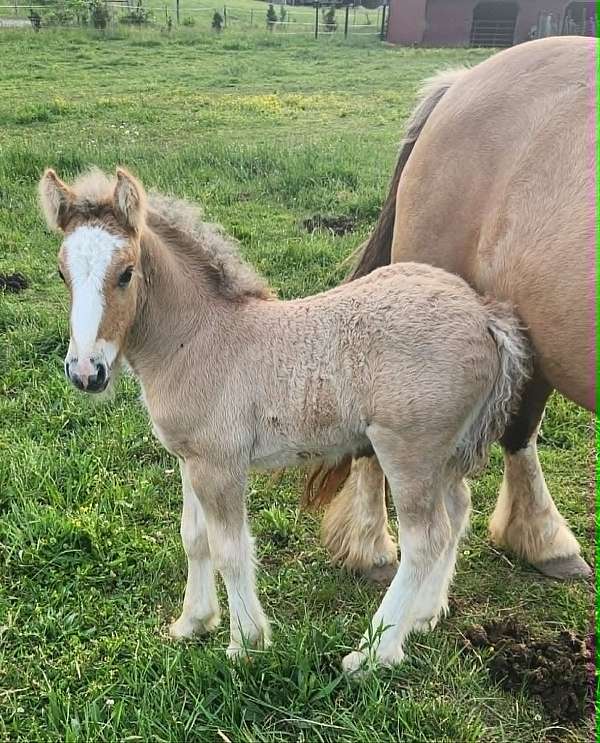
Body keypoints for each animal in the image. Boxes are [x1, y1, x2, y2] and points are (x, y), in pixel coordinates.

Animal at [39, 166, 530, 671]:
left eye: (125, 273)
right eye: (62, 273)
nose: (85, 372)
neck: (195, 338)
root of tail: (485, 316)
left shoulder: (219, 466)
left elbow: (231, 550)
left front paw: (245, 643)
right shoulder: (189, 459)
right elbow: (194, 537)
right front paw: (192, 623)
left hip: (408, 450)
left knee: (426, 539)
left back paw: (374, 653)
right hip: (445, 452)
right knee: (457, 512)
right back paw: (423, 615)